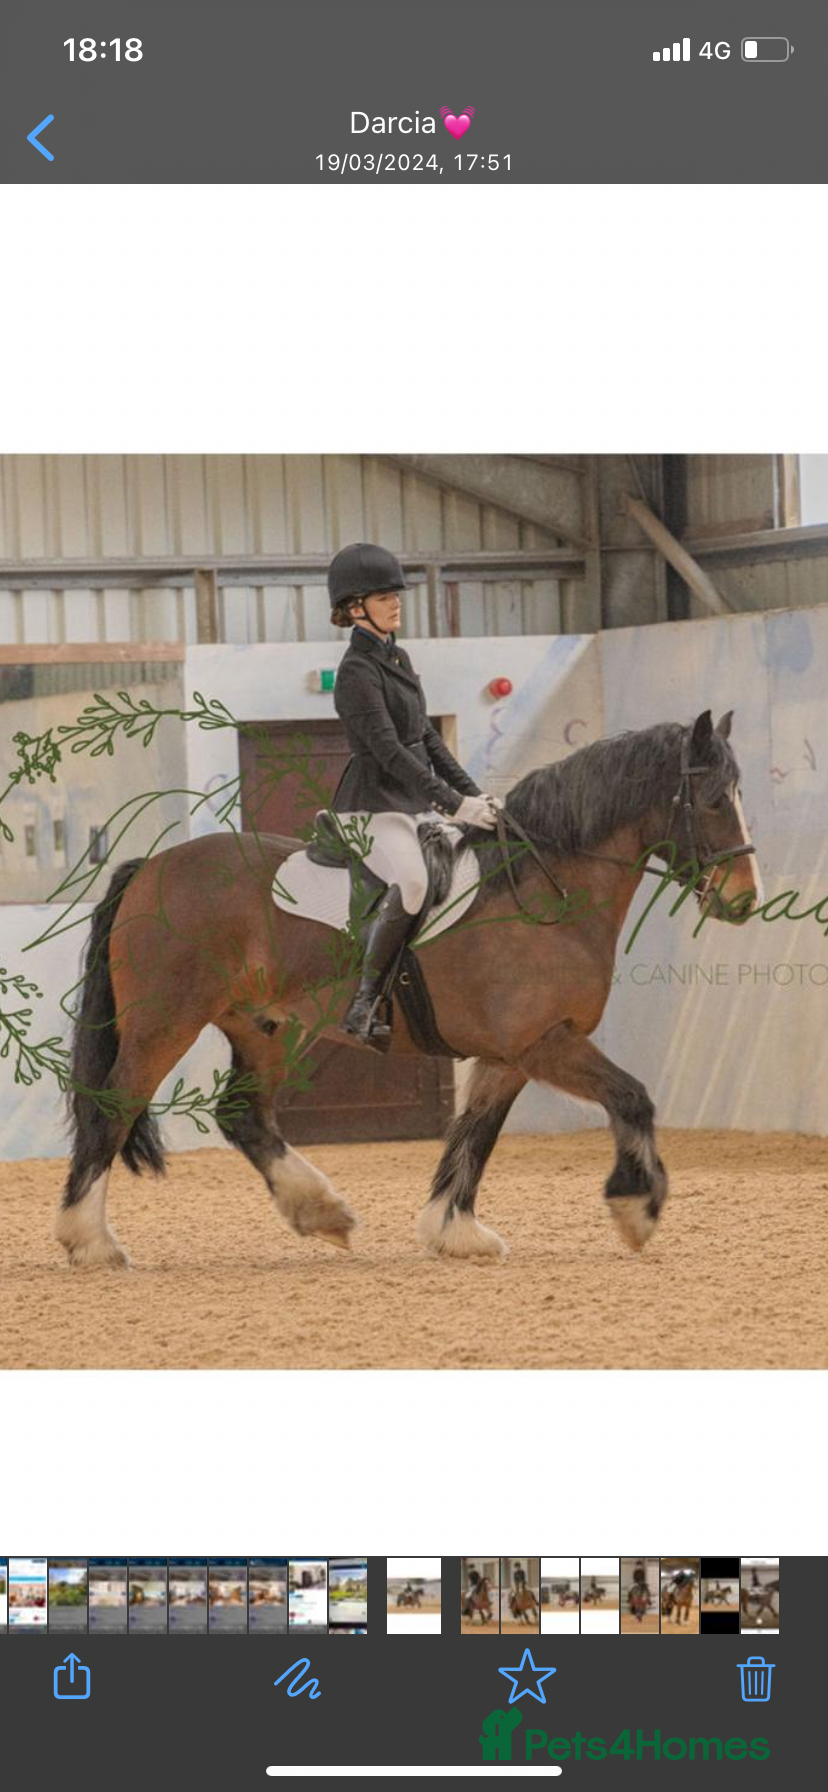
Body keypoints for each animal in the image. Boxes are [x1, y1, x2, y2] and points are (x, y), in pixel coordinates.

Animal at [55, 710, 761, 1269]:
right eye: (714, 800)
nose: (744, 902)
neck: (543, 892)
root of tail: (153, 865)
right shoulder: (544, 1043)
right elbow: (632, 1097)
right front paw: (637, 1207)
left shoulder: (509, 1056)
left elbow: (475, 1135)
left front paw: (456, 1231)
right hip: (164, 1021)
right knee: (114, 1105)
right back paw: (91, 1242)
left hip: (262, 1025)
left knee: (244, 1115)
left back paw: (321, 1211)